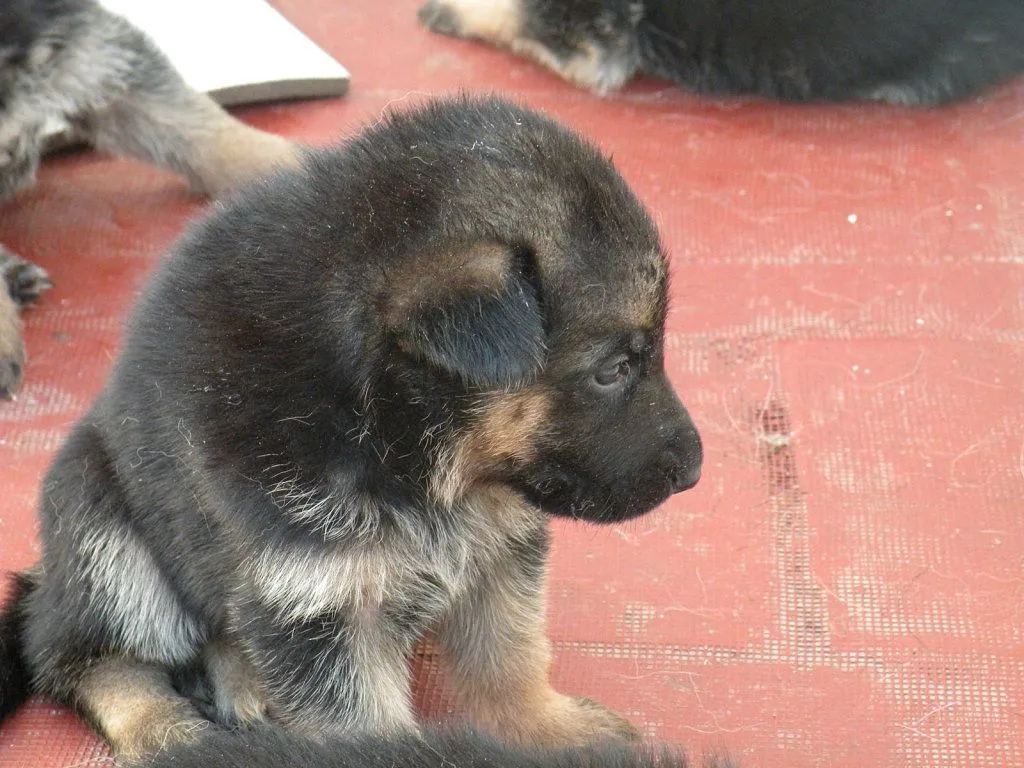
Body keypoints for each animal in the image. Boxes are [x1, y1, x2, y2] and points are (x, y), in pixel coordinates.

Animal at [0, 97, 704, 765]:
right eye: (613, 370)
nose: (695, 470)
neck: (395, 439)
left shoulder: (500, 546)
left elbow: (509, 655)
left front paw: (550, 729)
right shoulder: (321, 607)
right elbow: (365, 725)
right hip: (99, 524)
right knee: (81, 657)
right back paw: (170, 732)